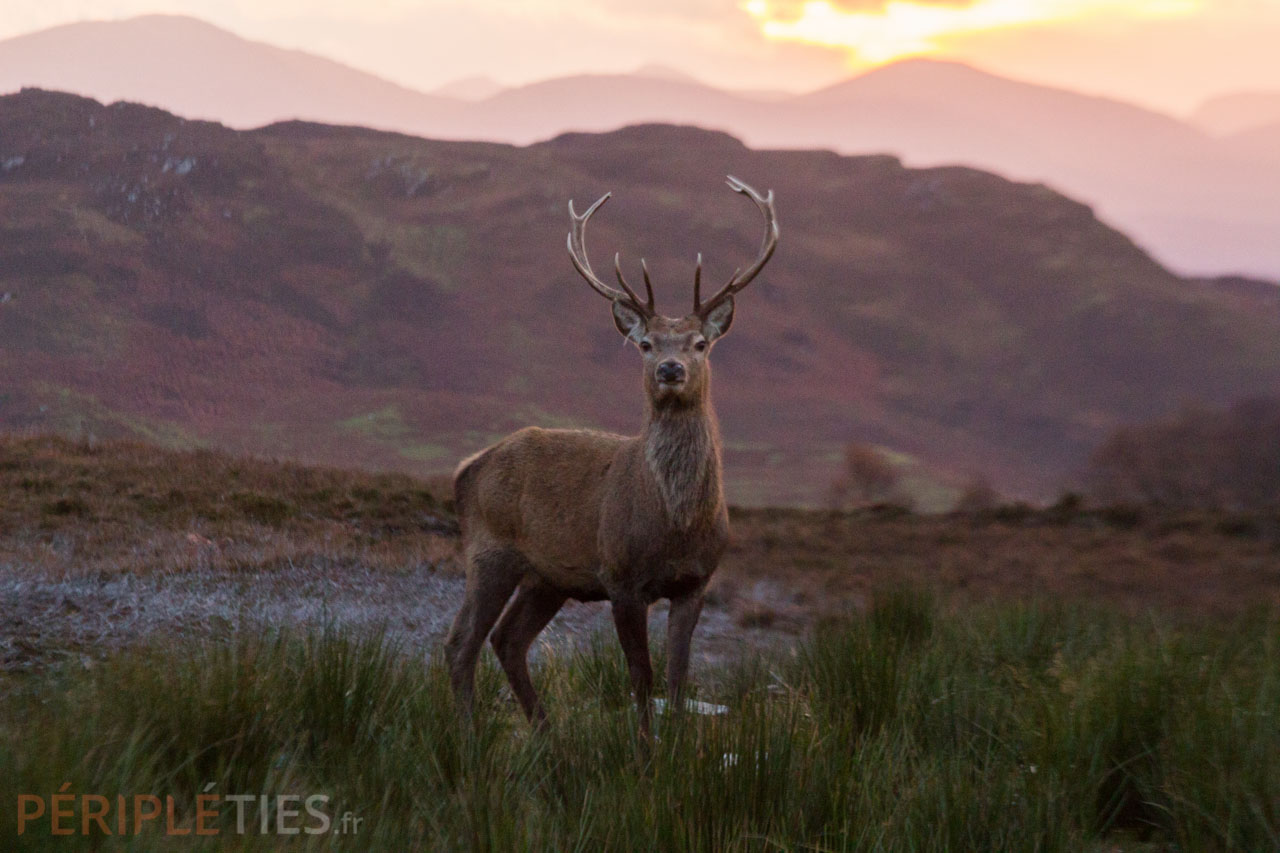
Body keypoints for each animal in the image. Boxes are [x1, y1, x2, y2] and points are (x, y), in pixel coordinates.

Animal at [444, 176, 778, 739]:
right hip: (489, 552)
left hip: (547, 577)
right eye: (645, 343)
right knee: (460, 643)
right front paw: (642, 750)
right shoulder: (622, 578)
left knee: (507, 639)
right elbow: (641, 678)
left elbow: (678, 679)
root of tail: (466, 469)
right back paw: (469, 736)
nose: (670, 368)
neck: (677, 524)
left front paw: (677, 747)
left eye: (700, 343)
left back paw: (546, 734)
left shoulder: (697, 582)